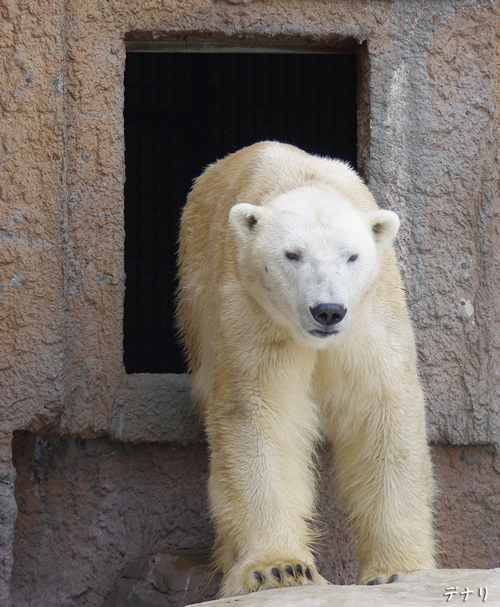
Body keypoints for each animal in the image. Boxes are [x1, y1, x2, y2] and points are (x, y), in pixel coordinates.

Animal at [176, 141, 434, 600]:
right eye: (291, 254)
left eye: (352, 256)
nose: (328, 310)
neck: (303, 180)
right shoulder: (252, 312)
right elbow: (259, 411)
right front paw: (277, 568)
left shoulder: (371, 315)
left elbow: (382, 411)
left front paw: (397, 570)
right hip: (196, 296)